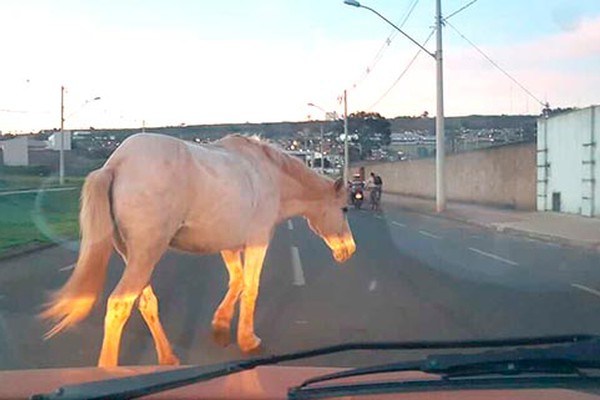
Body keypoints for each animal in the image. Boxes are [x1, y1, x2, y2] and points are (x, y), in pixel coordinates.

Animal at [43, 133, 356, 368]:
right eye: (344, 208)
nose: (350, 250)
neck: (268, 174)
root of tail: (115, 165)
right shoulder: (258, 241)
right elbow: (251, 287)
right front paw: (248, 340)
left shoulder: (228, 245)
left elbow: (237, 282)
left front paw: (220, 327)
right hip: (146, 255)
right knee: (120, 303)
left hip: (133, 256)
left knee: (145, 302)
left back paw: (168, 358)